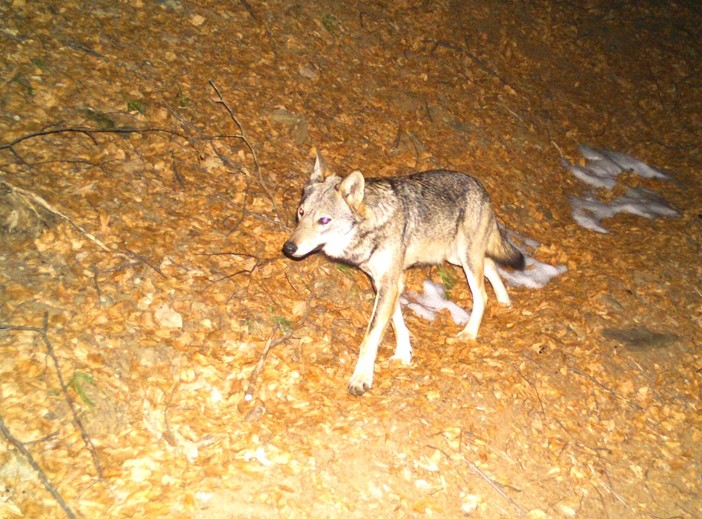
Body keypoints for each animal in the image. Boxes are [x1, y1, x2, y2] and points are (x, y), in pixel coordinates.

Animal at [282, 152, 524, 396]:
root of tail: (479, 185)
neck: (371, 227)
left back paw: (470, 333)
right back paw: (504, 300)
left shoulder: (389, 284)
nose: (288, 248)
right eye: (301, 212)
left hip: (465, 259)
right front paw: (403, 354)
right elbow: (397, 324)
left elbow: (370, 336)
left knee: (482, 294)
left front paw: (361, 378)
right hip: (456, 256)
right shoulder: (388, 283)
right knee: (491, 264)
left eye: (324, 220)